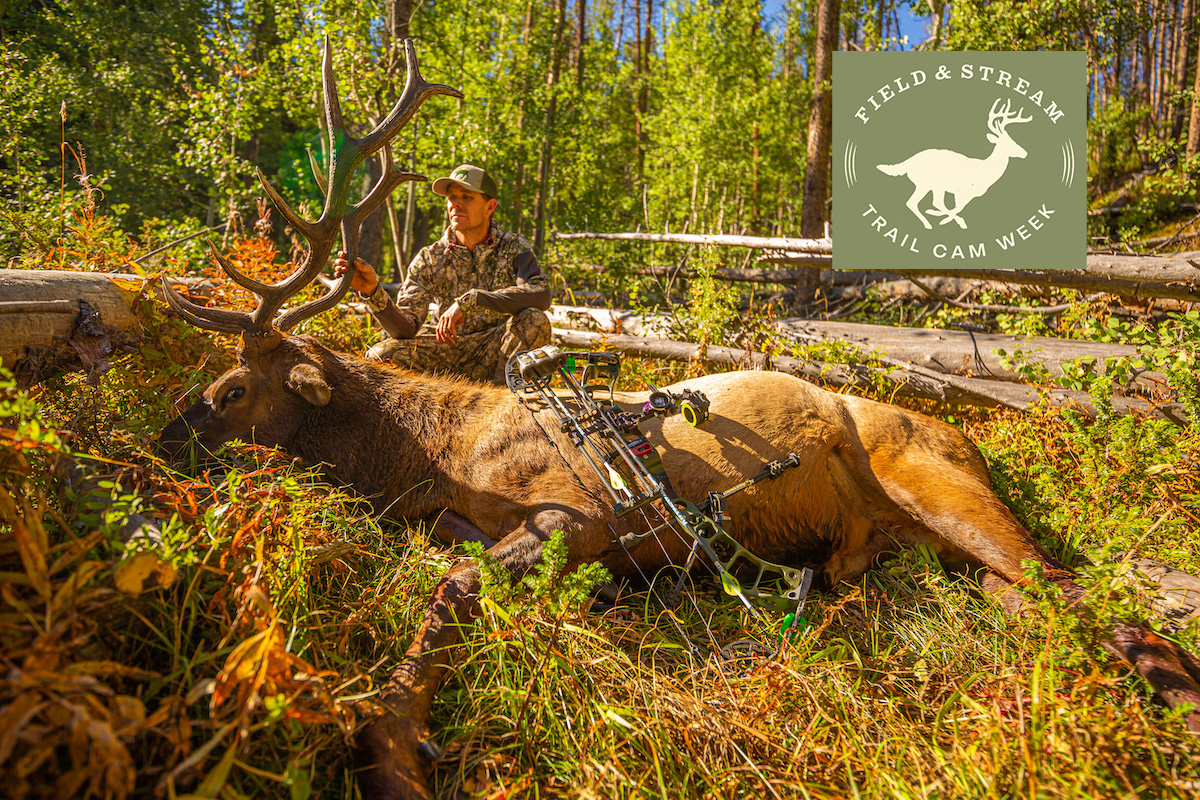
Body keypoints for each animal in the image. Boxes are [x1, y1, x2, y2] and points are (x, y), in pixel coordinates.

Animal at [877, 98, 1033, 230]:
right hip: (925, 183)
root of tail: (909, 161)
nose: (1025, 153)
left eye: (1013, 139)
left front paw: (941, 217)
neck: (985, 173)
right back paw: (928, 224)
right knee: (914, 202)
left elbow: (956, 207)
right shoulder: (961, 191)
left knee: (933, 202)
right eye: (1009, 142)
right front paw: (952, 221)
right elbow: (958, 208)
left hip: (935, 186)